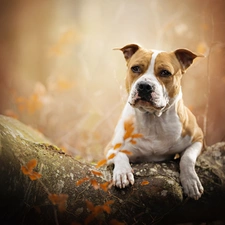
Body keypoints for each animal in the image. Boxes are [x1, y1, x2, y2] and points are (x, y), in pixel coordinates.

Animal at [105, 43, 204, 200]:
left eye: (165, 72)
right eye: (135, 68)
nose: (144, 86)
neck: (153, 120)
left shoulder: (198, 138)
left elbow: (187, 158)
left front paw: (191, 182)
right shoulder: (109, 149)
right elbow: (119, 154)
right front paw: (123, 173)